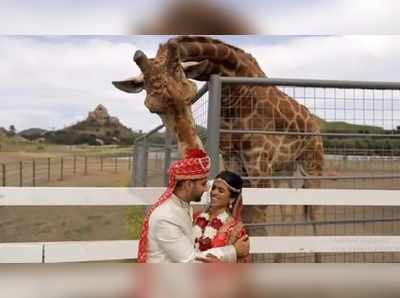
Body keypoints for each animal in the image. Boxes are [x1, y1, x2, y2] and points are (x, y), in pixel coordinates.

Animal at [113, 35, 324, 264]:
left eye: (191, 94)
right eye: (153, 108)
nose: (194, 152)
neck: (235, 94)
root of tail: (315, 124)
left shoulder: (258, 162)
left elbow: (257, 226)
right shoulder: (233, 157)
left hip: (312, 164)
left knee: (315, 212)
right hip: (285, 171)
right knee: (289, 211)